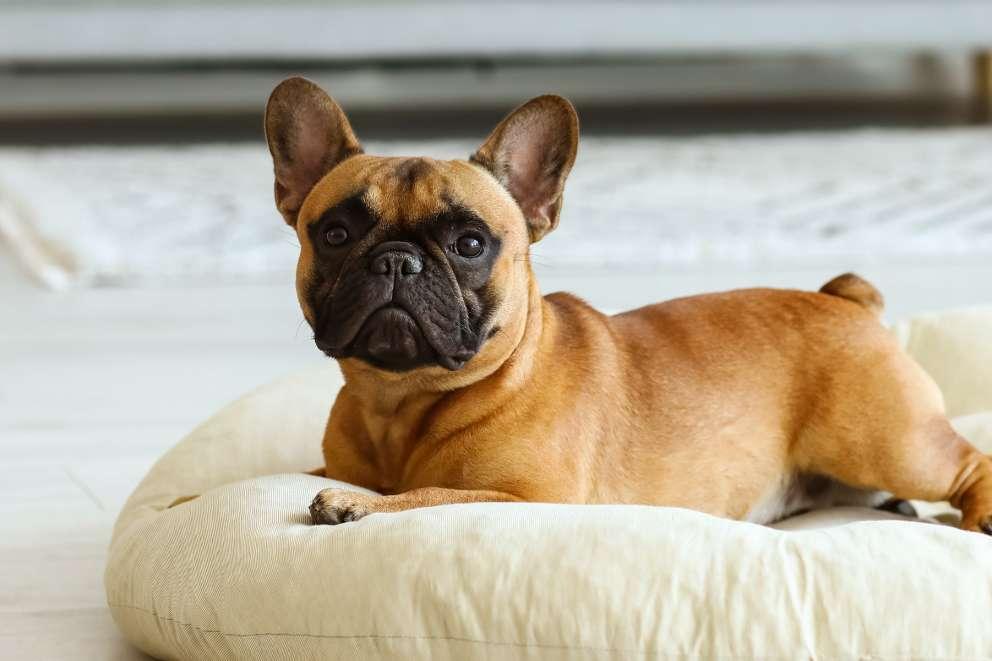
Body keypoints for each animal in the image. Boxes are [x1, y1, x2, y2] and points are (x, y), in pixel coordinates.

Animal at [264, 76, 992, 532]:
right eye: (335, 234)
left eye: (470, 243)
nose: (396, 260)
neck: (403, 401)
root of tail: (847, 302)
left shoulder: (529, 496)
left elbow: (429, 495)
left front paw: (356, 505)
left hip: (892, 442)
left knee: (968, 462)